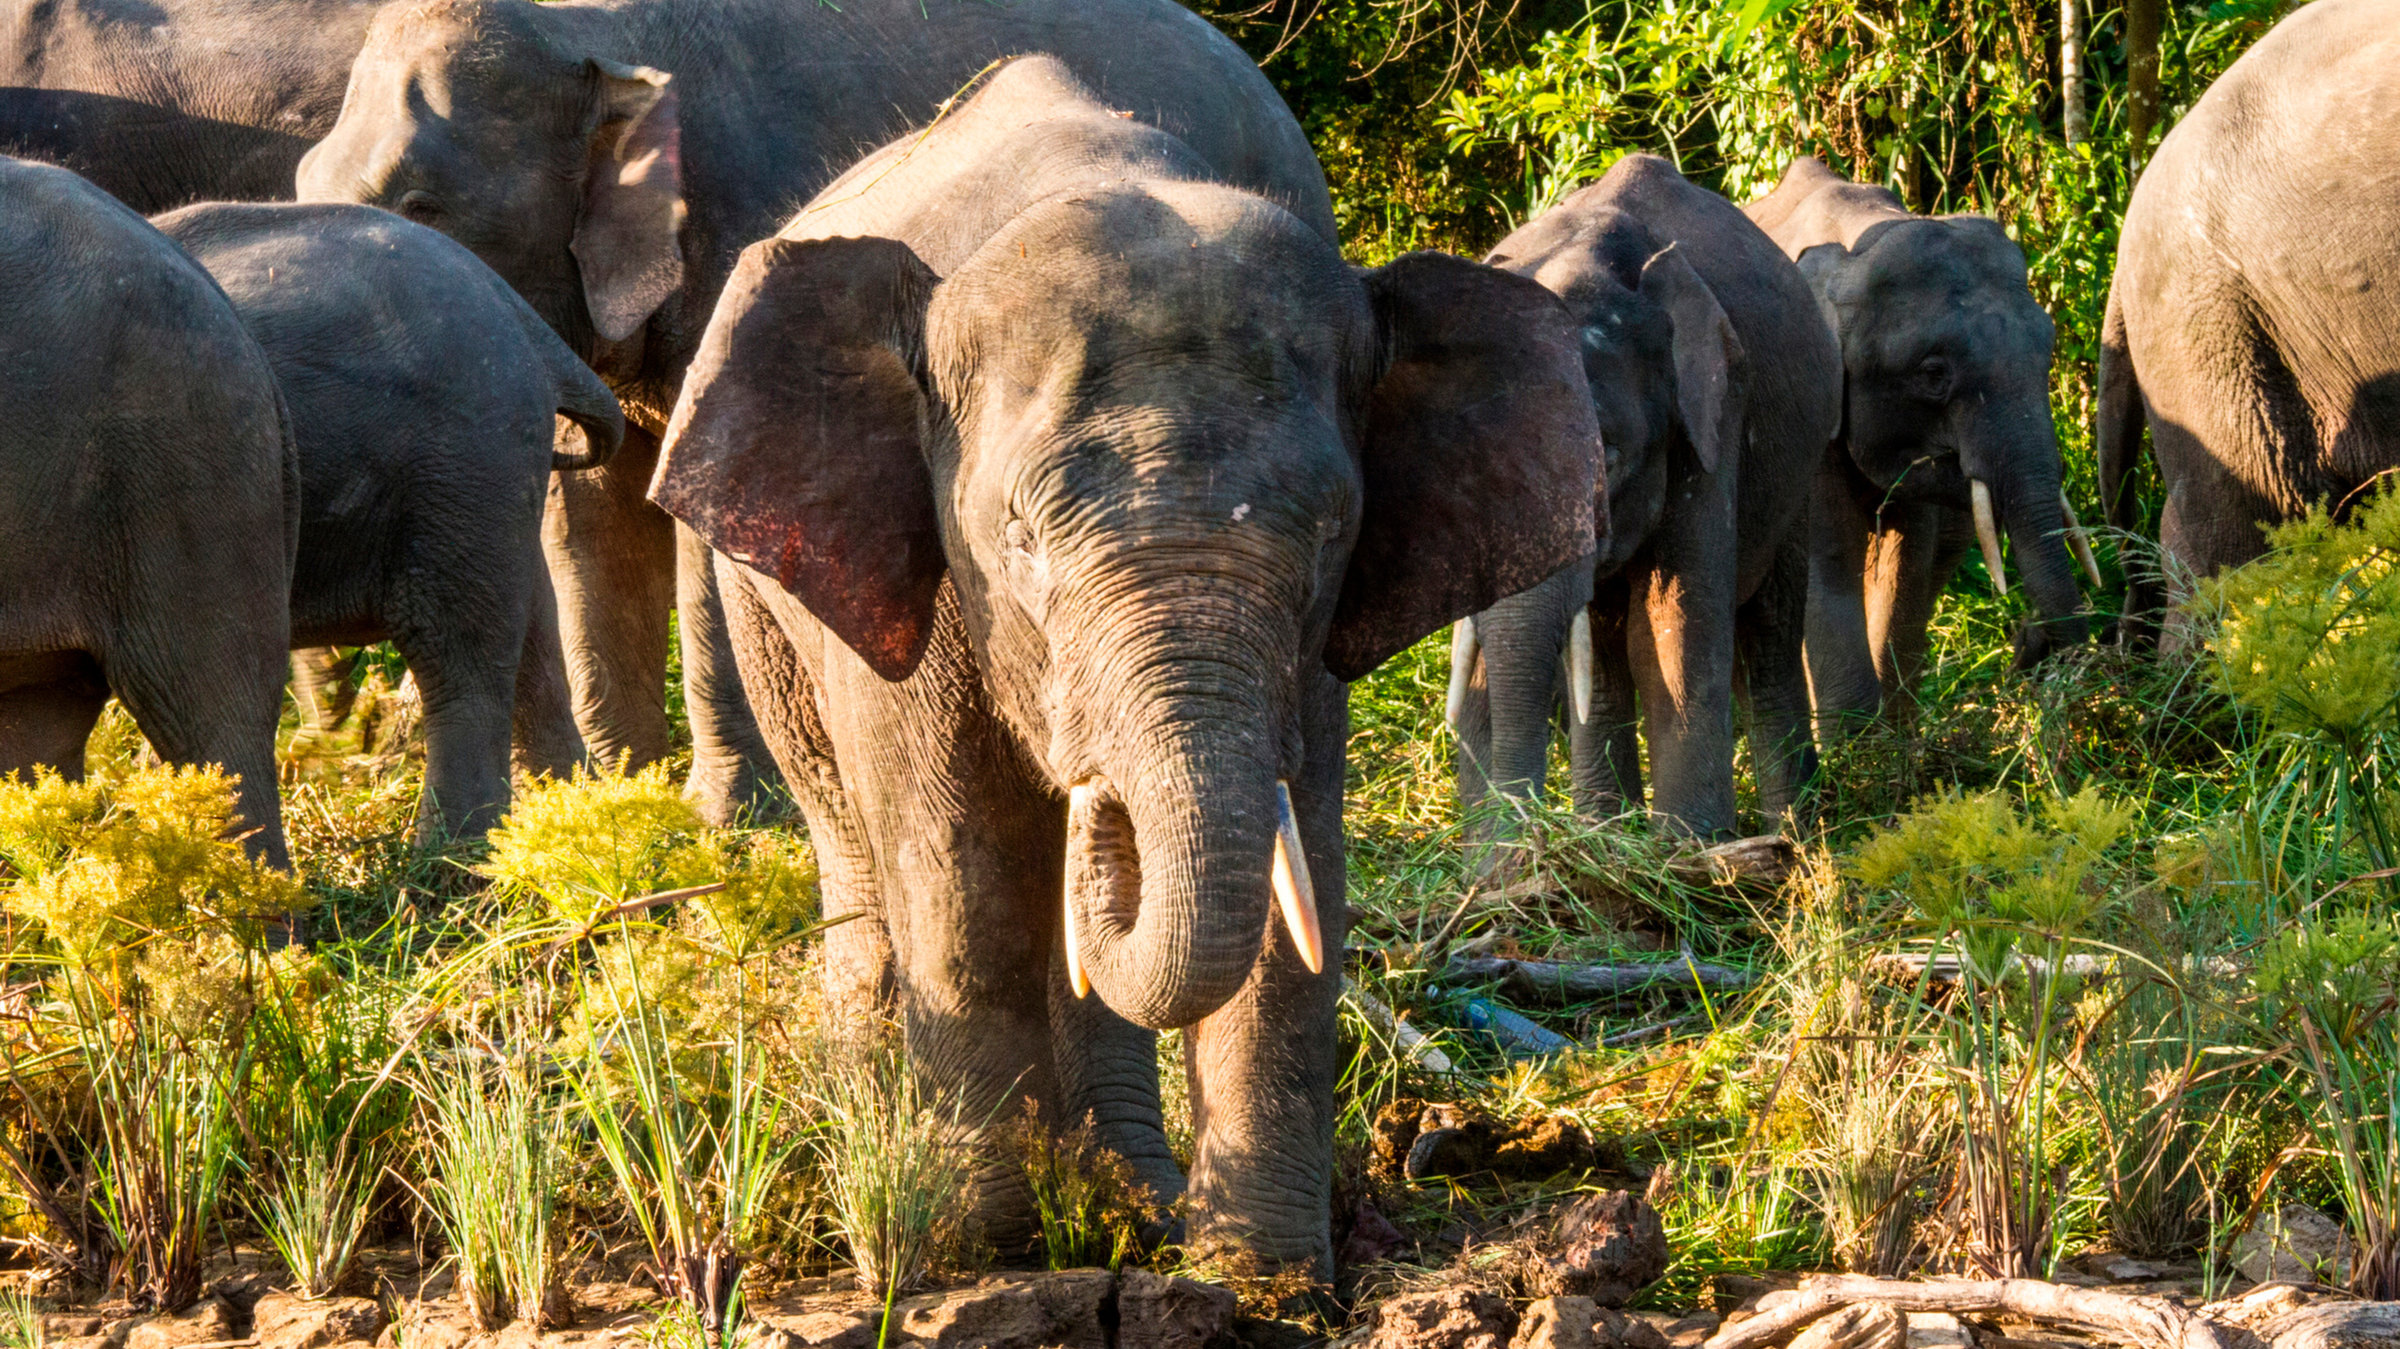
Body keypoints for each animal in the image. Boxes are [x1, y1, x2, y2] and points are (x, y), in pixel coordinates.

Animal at [152, 201, 627, 843]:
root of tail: (520, 314)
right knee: (532, 635)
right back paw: (575, 819)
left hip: (463, 456)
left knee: (457, 651)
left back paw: (453, 858)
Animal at [292, 0, 1337, 825]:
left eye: (421, 204)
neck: (588, 33)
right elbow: (587, 521)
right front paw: (617, 809)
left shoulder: (739, 238)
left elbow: (698, 531)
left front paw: (719, 819)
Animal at [648, 57, 1602, 1268]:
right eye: (1022, 538)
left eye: (1331, 531)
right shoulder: (922, 566)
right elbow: (962, 868)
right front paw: (999, 1252)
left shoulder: (1312, 646)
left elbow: (1296, 873)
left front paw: (1264, 1276)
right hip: (768, 605)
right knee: (860, 855)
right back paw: (899, 1183)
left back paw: (1130, 1198)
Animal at [1450, 154, 1842, 840]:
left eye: (1606, 458)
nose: (1522, 841)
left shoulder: (1713, 414)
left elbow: (1670, 623)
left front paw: (1690, 852)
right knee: (1604, 655)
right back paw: (1607, 830)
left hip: (1798, 474)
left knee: (1766, 634)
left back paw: (1794, 837)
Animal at [1746, 157, 2095, 722]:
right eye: (1933, 373)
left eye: (2048, 346)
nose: (2027, 636)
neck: (1855, 246)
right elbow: (1827, 567)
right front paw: (1859, 739)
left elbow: (1904, 568)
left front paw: (1896, 737)